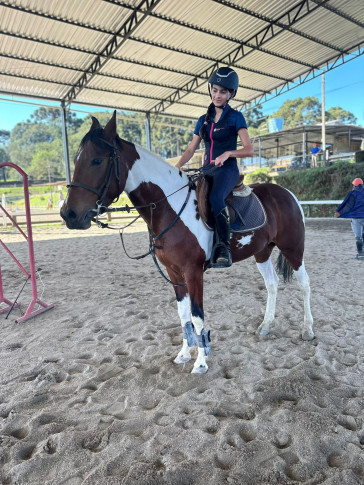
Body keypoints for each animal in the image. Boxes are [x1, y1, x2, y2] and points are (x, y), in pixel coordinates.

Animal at [61, 110, 314, 374]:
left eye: (97, 161)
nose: (69, 214)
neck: (169, 206)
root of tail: (286, 192)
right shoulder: (174, 272)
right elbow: (183, 315)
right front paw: (183, 354)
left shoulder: (193, 272)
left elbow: (197, 315)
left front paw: (201, 362)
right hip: (262, 251)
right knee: (272, 285)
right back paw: (265, 326)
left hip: (293, 249)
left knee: (305, 284)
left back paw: (307, 329)